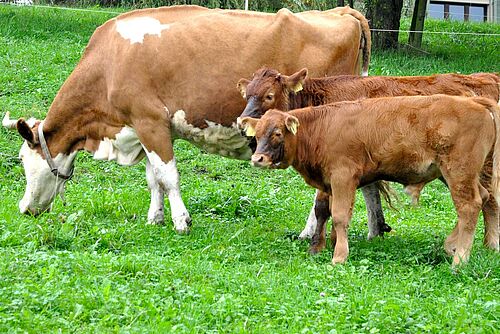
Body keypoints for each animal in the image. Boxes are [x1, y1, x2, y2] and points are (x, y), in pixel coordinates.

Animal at [1, 4, 372, 232]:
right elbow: (154, 178)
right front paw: (155, 218)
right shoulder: (145, 128)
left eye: (23, 160)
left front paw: (181, 220)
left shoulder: (150, 121)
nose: (24, 208)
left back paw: (310, 231)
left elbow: (169, 176)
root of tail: (342, 10)